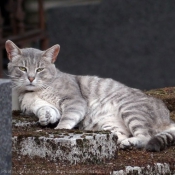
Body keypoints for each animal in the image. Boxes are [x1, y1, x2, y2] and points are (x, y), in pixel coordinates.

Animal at [5, 39, 175, 152]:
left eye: (40, 69)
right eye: (22, 68)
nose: (31, 78)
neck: (36, 91)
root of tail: (168, 119)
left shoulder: (75, 101)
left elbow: (66, 119)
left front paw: (60, 130)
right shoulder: (42, 105)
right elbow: (46, 110)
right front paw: (45, 118)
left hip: (130, 109)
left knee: (146, 136)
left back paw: (130, 143)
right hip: (110, 125)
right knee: (121, 135)